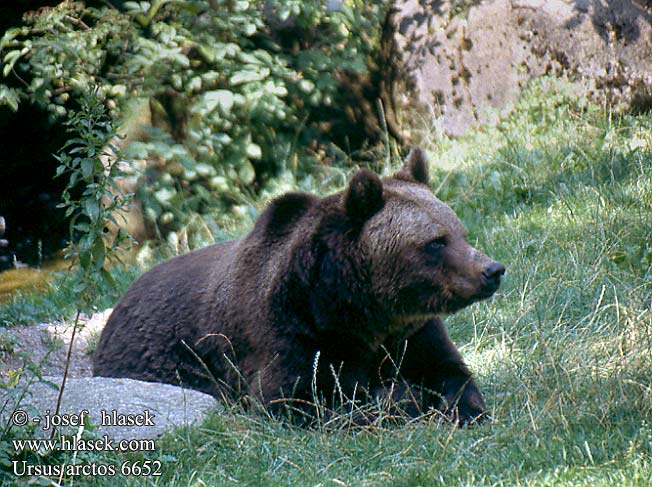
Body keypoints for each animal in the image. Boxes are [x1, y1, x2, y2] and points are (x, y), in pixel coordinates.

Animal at [94, 151, 506, 426]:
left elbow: (451, 373)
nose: (492, 270)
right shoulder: (288, 333)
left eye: (459, 231)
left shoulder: (413, 333)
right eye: (435, 242)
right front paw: (400, 397)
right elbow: (298, 398)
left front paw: (458, 405)